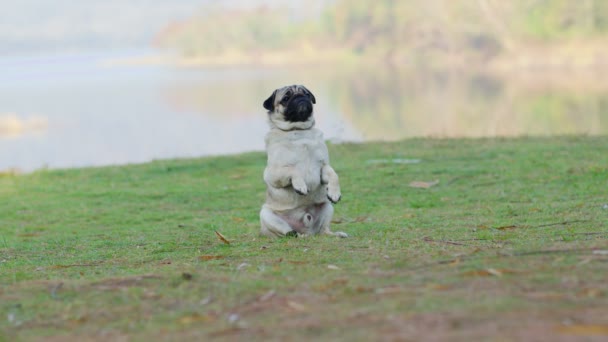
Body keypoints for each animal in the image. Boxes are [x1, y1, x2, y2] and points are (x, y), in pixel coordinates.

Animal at [260, 85, 350, 238]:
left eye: (307, 94)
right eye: (286, 98)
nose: (300, 97)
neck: (299, 132)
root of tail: (308, 231)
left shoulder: (322, 167)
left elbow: (333, 174)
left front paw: (334, 192)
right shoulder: (273, 174)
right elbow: (293, 170)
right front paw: (300, 186)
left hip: (327, 207)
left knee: (323, 230)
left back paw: (335, 234)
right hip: (266, 214)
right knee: (290, 233)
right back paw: (299, 236)